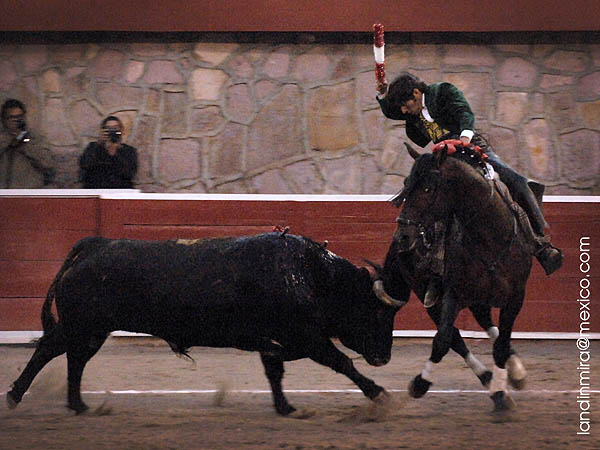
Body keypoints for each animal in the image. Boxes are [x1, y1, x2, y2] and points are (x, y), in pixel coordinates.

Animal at [4, 234, 408, 416]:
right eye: (377, 313)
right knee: (48, 349)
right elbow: (341, 362)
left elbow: (275, 371)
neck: (310, 275)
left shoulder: (273, 339)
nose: (385, 358)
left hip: (93, 331)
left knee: (75, 359)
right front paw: (379, 393)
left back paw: (78, 404)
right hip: (81, 323)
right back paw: (15, 395)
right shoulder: (307, 338)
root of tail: (94, 245)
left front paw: (285, 407)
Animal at [384, 142, 528, 412]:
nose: (402, 237)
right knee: (457, 337)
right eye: (407, 184)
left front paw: (502, 391)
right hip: (429, 295)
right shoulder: (453, 294)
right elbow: (442, 340)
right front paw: (420, 383)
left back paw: (514, 373)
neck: (489, 238)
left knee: (487, 326)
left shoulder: (516, 297)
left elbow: (501, 345)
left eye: (428, 188)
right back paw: (489, 377)